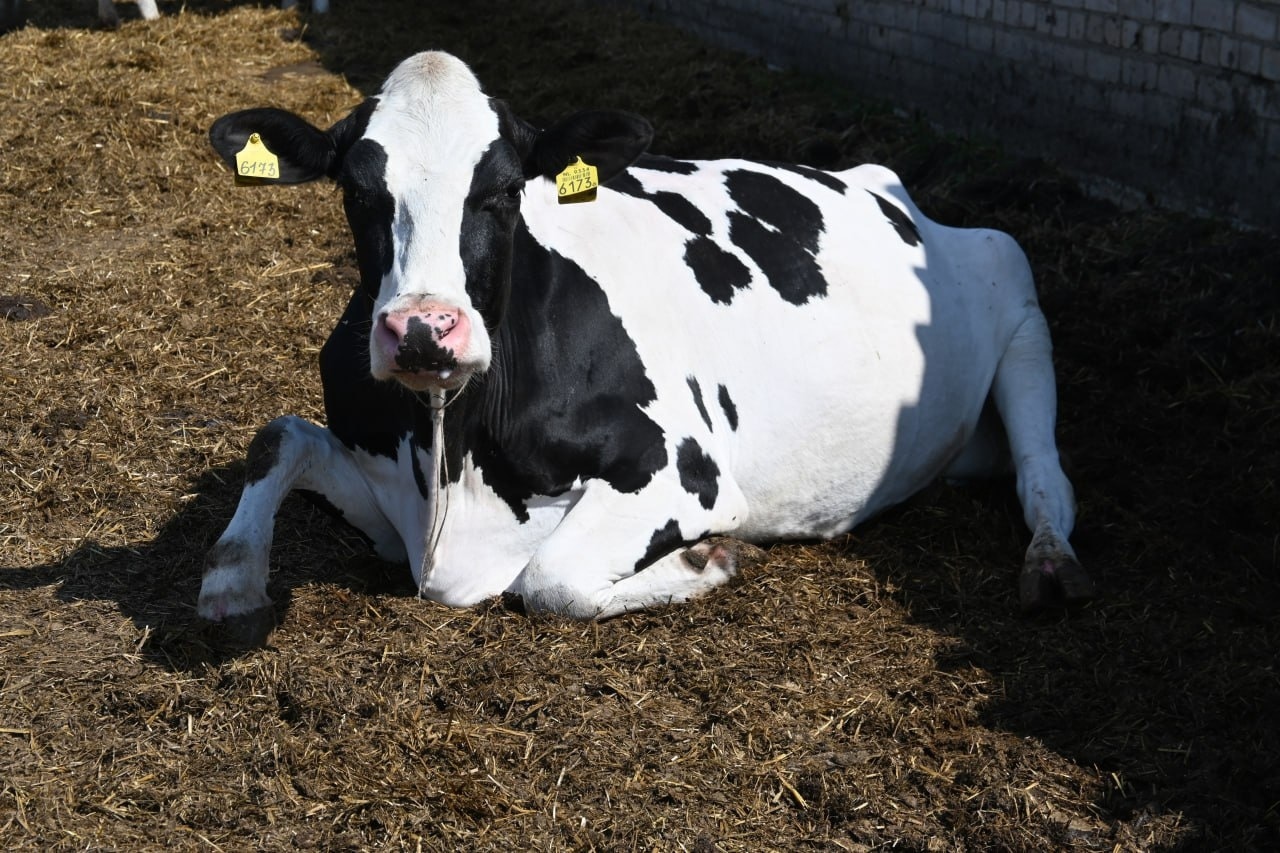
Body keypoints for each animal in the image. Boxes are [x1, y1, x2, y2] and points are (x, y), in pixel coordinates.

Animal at [197, 49, 1090, 627]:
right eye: (357, 189)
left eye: (502, 190)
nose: (423, 329)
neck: (454, 459)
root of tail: (878, 179)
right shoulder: (386, 496)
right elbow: (278, 435)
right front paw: (230, 577)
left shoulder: (682, 473)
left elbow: (549, 580)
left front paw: (706, 561)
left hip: (1015, 290)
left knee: (1043, 473)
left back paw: (1049, 563)